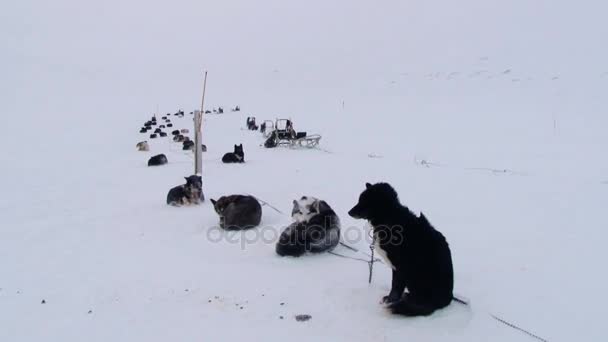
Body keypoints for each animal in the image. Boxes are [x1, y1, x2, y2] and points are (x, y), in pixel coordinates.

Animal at [350, 183, 454, 316]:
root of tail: (442, 302)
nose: (349, 212)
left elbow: (395, 287)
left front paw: (390, 301)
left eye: (364, 201)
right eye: (360, 200)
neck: (390, 218)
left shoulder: (401, 267)